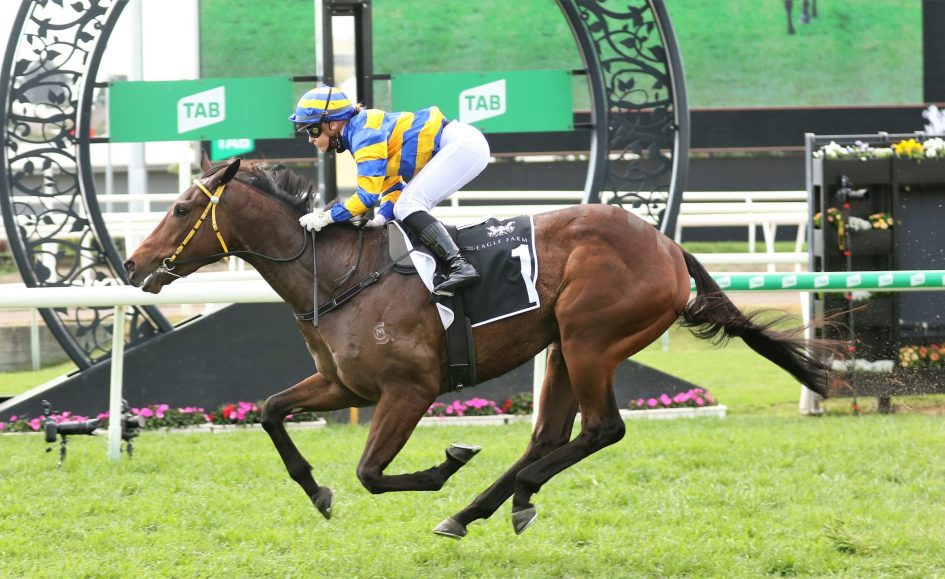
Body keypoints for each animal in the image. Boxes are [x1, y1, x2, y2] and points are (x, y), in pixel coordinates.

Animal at [123, 154, 837, 538]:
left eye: (181, 209)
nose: (134, 264)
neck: (340, 274)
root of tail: (667, 246)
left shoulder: (409, 391)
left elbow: (372, 473)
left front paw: (446, 462)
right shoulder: (342, 384)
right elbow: (272, 411)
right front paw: (318, 493)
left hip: (591, 340)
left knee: (601, 430)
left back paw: (500, 496)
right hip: (561, 348)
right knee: (549, 435)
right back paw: (484, 508)